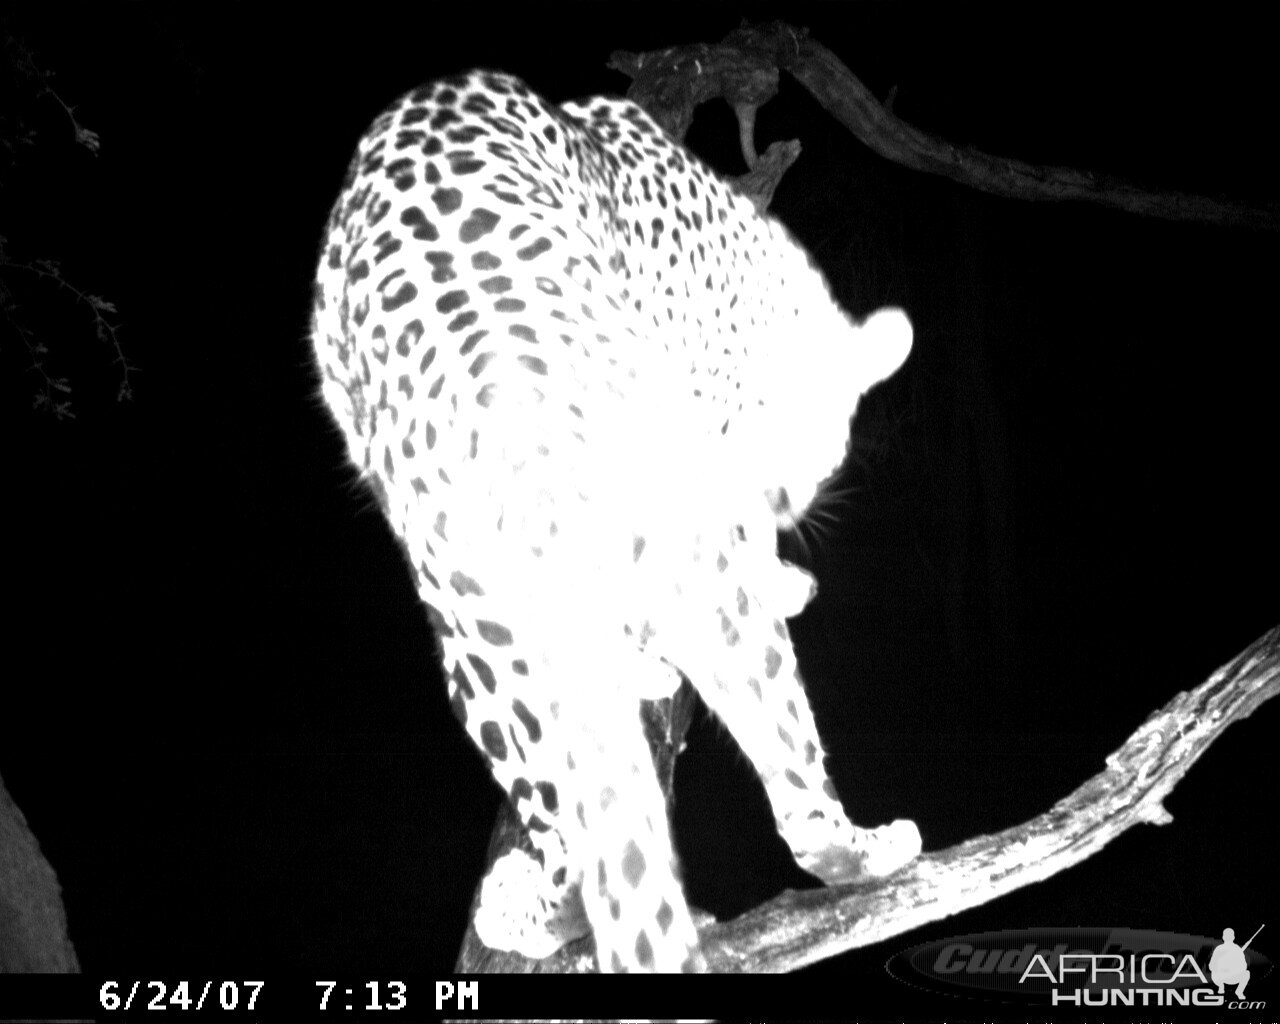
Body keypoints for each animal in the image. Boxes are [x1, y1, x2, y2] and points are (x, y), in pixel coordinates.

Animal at [312, 70, 921, 967]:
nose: (781, 502)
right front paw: (774, 580)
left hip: (478, 623)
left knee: (567, 830)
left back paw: (526, 909)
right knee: (792, 786)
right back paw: (864, 851)